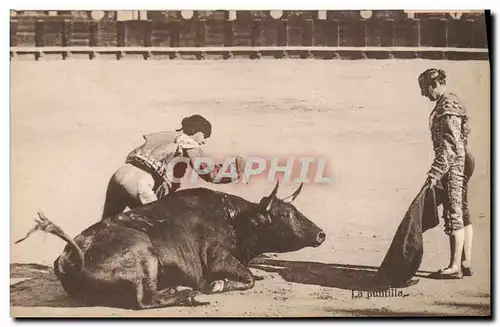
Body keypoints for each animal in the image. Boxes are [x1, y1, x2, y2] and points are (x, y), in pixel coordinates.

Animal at [15, 183, 326, 312]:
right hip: (144, 255)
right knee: (144, 301)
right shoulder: (217, 259)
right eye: (285, 214)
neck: (236, 221)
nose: (321, 233)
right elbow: (246, 279)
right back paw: (187, 294)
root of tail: (73, 257)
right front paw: (217, 286)